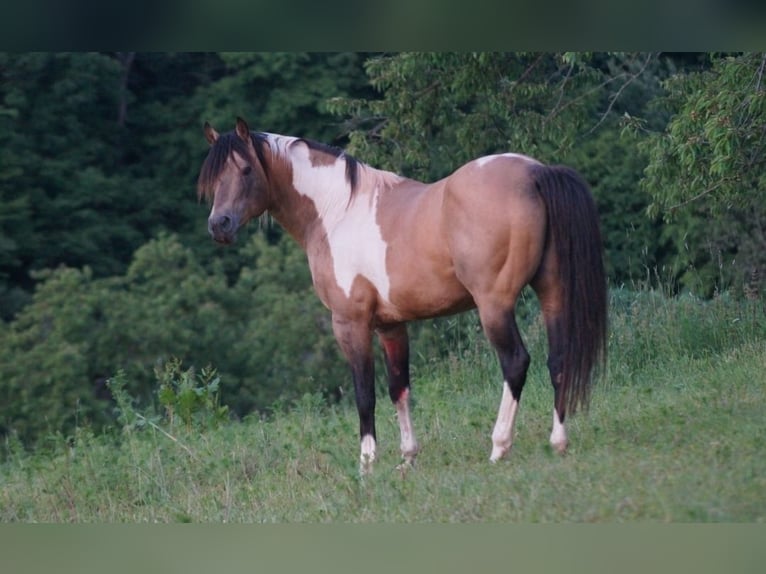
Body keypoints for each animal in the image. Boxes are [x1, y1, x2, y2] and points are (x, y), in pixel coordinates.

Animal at [197, 117, 607, 473]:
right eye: (215, 177)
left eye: (246, 170)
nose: (219, 225)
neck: (336, 212)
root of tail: (535, 172)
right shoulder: (391, 325)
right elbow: (399, 389)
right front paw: (407, 459)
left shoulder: (350, 323)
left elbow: (365, 393)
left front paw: (366, 465)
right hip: (552, 293)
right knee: (559, 360)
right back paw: (558, 443)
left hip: (495, 305)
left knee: (516, 363)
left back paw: (499, 447)